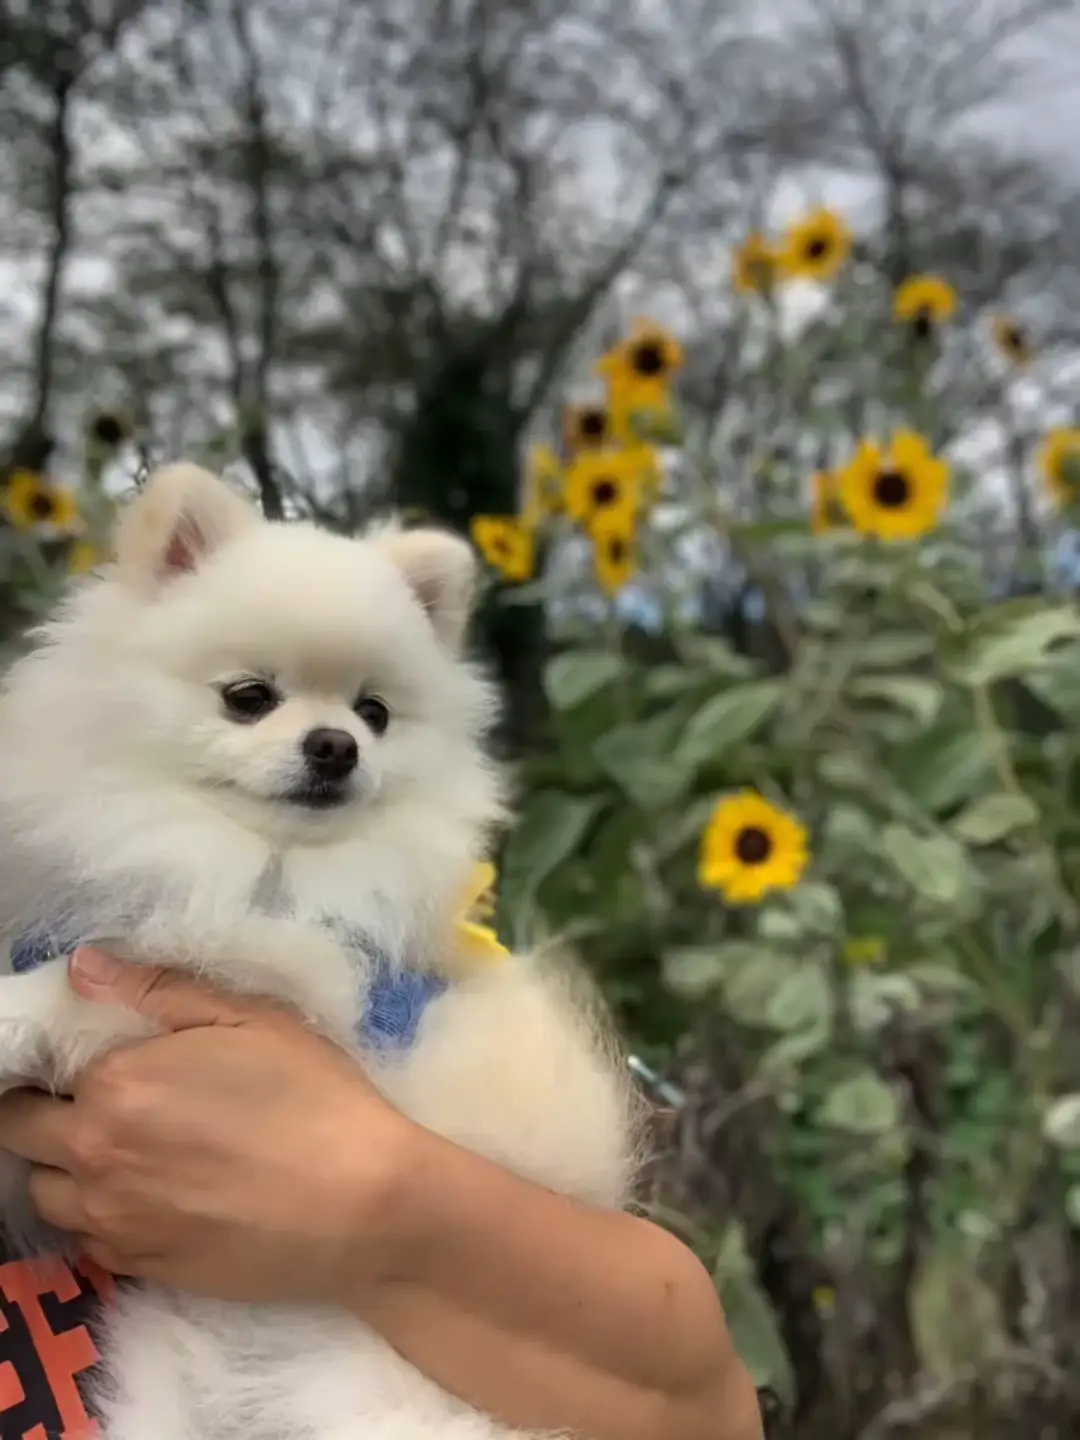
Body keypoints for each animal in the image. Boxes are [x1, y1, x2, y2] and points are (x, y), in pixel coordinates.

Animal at [0, 466, 642, 1434]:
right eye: (247, 696)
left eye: (375, 713)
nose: (336, 745)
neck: (257, 867)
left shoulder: (288, 979)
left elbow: (92, 985)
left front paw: (12, 1013)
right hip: (161, 1378)